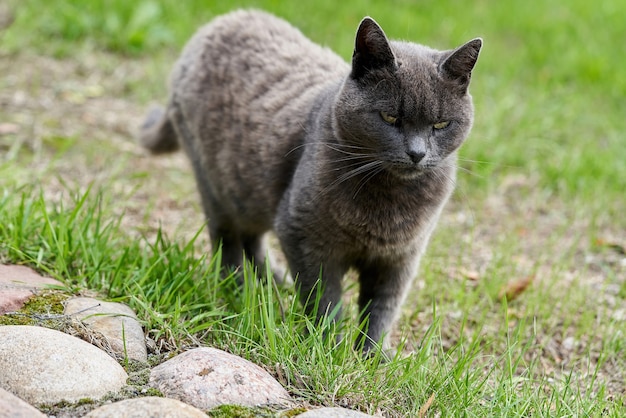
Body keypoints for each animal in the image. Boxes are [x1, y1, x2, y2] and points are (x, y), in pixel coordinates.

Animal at [141, 9, 480, 352]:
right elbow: (324, 299)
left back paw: (272, 282)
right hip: (216, 184)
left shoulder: (400, 257)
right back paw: (238, 289)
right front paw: (328, 347)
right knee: (226, 238)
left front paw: (372, 355)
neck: (390, 200)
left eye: (441, 124)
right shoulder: (303, 235)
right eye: (390, 118)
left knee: (252, 236)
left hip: (250, 190)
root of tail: (223, 20)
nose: (417, 153)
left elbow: (382, 307)